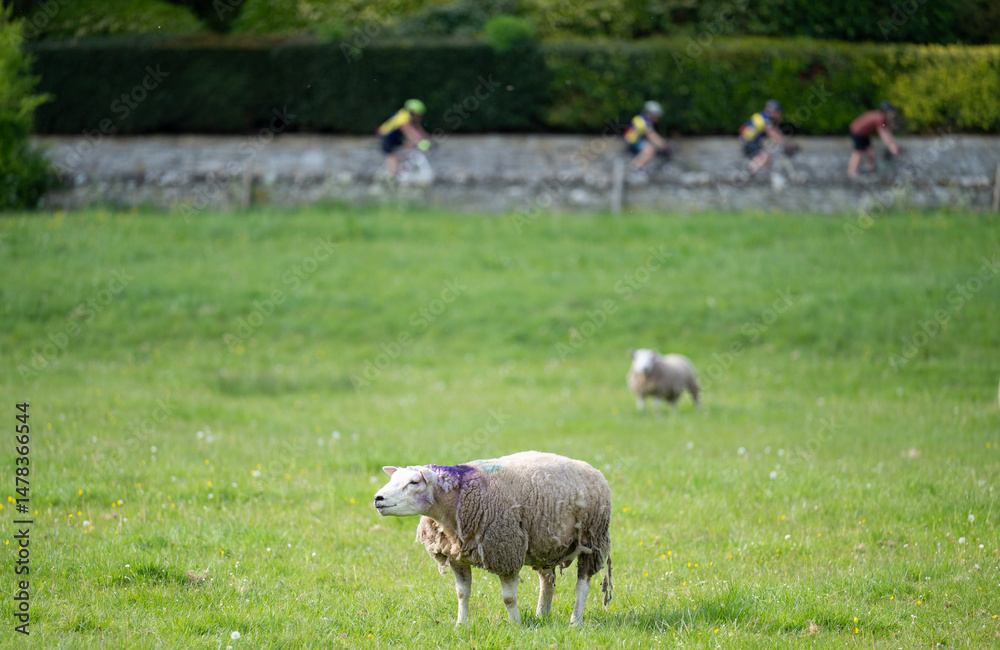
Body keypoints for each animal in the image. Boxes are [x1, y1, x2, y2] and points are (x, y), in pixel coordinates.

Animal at [373, 450, 612, 626]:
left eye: (414, 482)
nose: (378, 498)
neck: (459, 499)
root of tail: (594, 470)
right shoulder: (457, 557)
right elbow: (462, 593)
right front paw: (461, 625)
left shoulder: (506, 552)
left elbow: (509, 598)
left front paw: (515, 625)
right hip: (545, 544)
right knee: (548, 581)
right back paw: (542, 615)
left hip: (593, 539)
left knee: (582, 584)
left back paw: (575, 620)